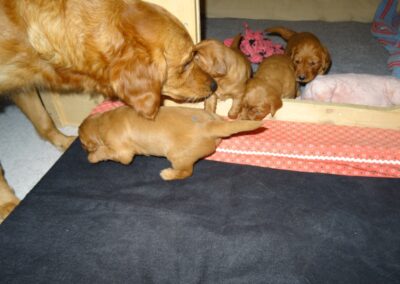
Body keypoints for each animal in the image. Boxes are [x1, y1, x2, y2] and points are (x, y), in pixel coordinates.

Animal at [80, 105, 264, 181]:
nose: (83, 148)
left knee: (186, 172)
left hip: (177, 156)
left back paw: (168, 174)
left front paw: (92, 156)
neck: (103, 121)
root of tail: (210, 126)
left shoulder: (123, 153)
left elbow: (106, 152)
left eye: (82, 144)